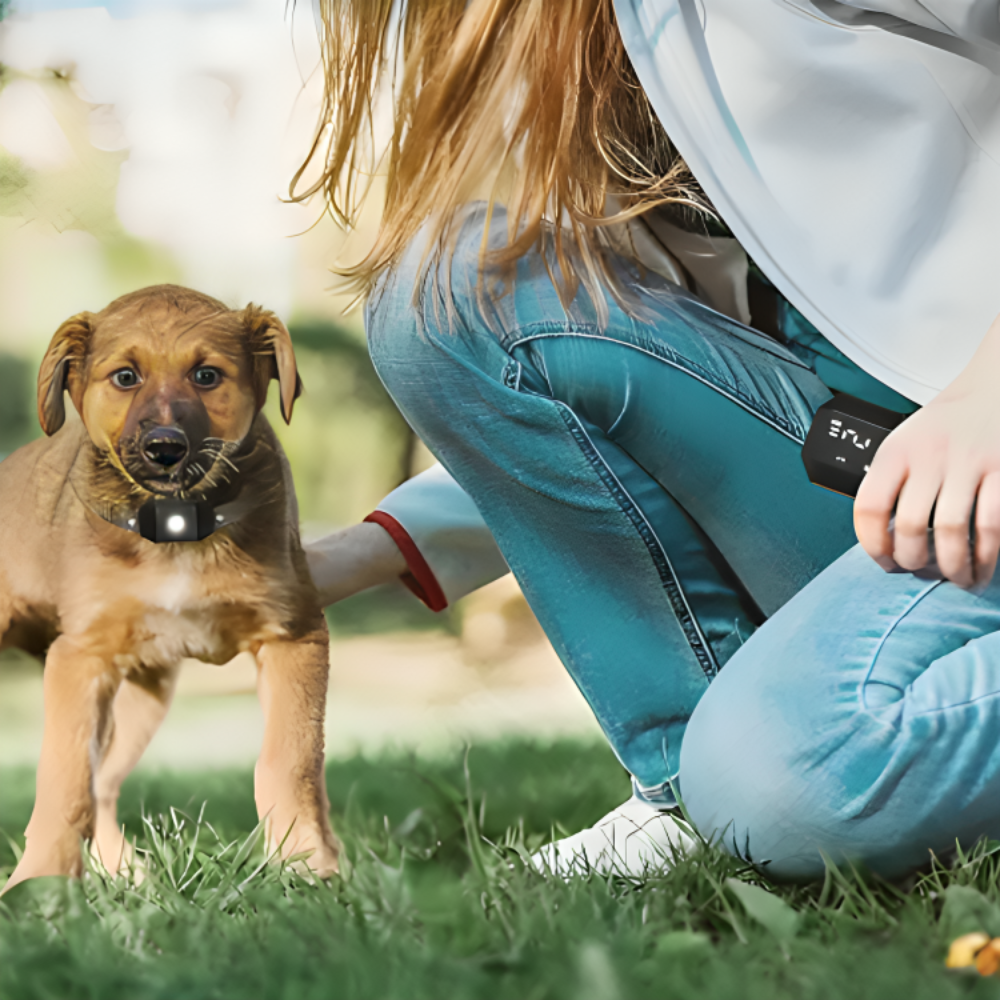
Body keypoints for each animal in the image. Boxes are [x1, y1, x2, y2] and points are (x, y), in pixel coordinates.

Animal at [0, 282, 340, 892]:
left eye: (206, 375)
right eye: (125, 377)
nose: (165, 448)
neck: (178, 527)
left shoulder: (294, 635)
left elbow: (291, 757)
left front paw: (305, 866)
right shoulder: (80, 657)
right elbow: (64, 777)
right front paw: (40, 884)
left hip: (144, 695)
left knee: (106, 782)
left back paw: (124, 872)